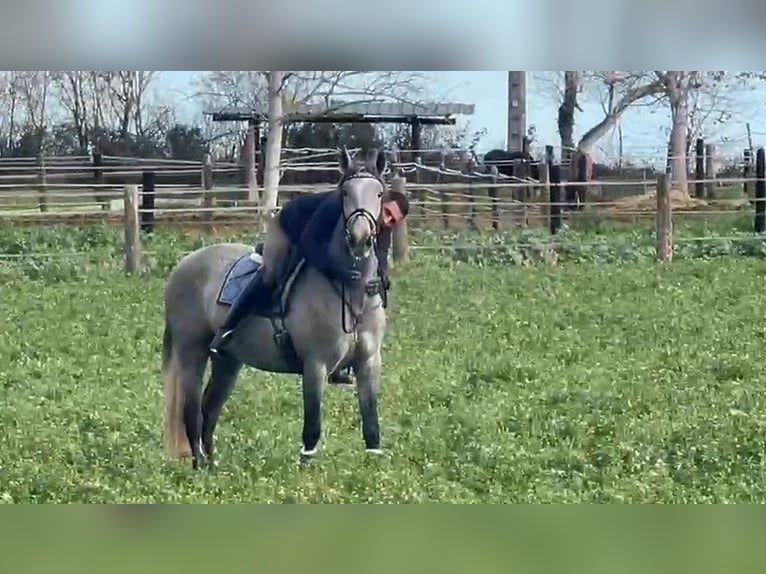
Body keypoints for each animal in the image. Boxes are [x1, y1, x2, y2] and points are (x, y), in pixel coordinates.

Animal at [162, 148, 390, 472]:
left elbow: (371, 425)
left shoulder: (369, 362)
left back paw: (214, 466)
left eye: (379, 193)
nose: (360, 238)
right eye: (345, 192)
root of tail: (183, 265)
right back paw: (200, 467)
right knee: (192, 412)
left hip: (227, 362)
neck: (350, 290)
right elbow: (312, 428)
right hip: (191, 352)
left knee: (210, 410)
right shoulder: (315, 366)